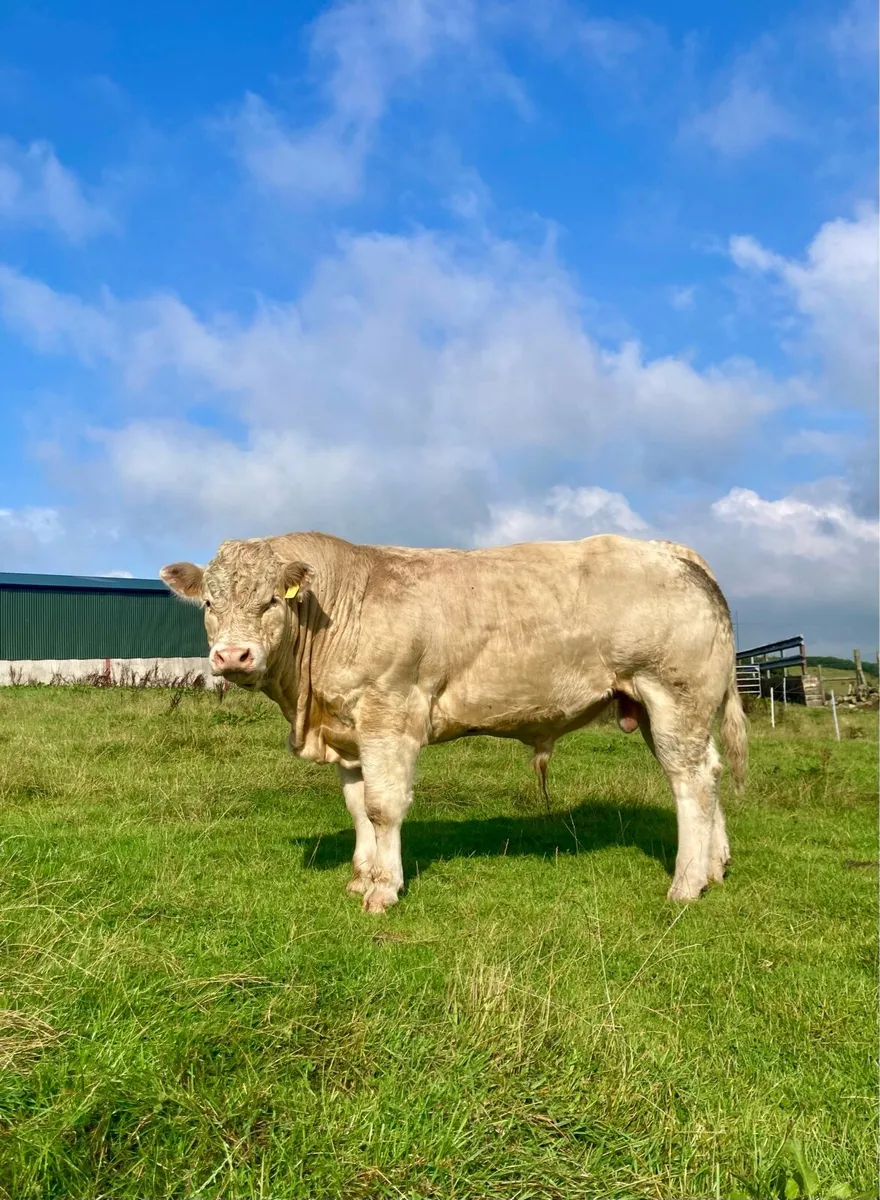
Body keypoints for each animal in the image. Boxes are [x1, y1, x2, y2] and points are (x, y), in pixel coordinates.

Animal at [161, 532, 747, 914]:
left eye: (268, 603)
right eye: (209, 602)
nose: (232, 656)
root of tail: (671, 550)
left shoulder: (388, 714)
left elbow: (383, 806)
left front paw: (384, 889)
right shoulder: (348, 730)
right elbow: (357, 807)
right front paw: (360, 876)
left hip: (670, 695)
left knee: (690, 782)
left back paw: (686, 883)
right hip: (659, 707)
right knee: (710, 772)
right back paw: (715, 867)